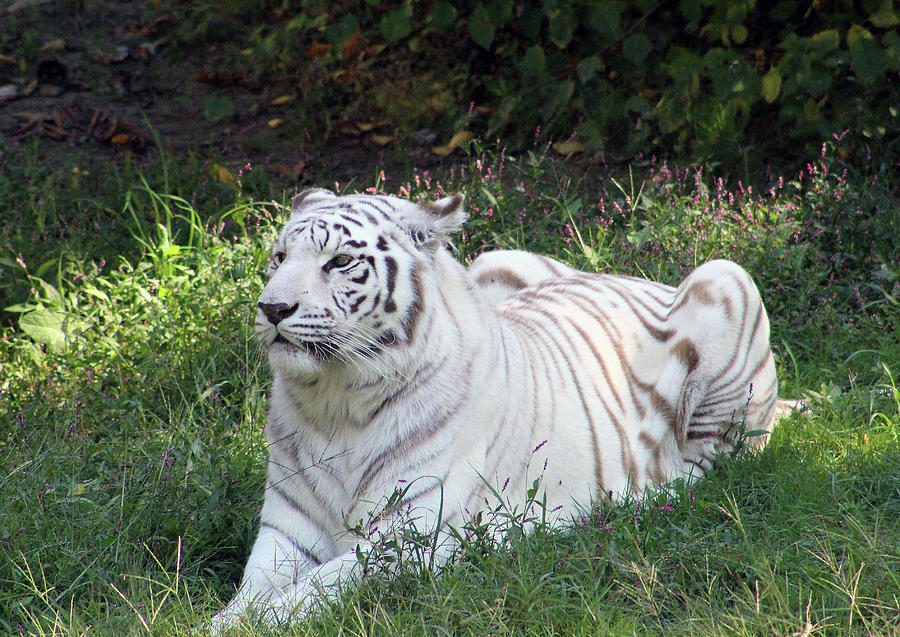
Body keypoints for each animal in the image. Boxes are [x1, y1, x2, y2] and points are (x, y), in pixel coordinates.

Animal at [207, 188, 784, 632]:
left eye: (340, 261)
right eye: (279, 257)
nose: (271, 308)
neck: (336, 402)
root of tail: (642, 278)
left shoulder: (412, 533)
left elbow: (314, 589)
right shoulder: (286, 529)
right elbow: (250, 595)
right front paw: (219, 621)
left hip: (727, 279)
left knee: (713, 461)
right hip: (499, 258)